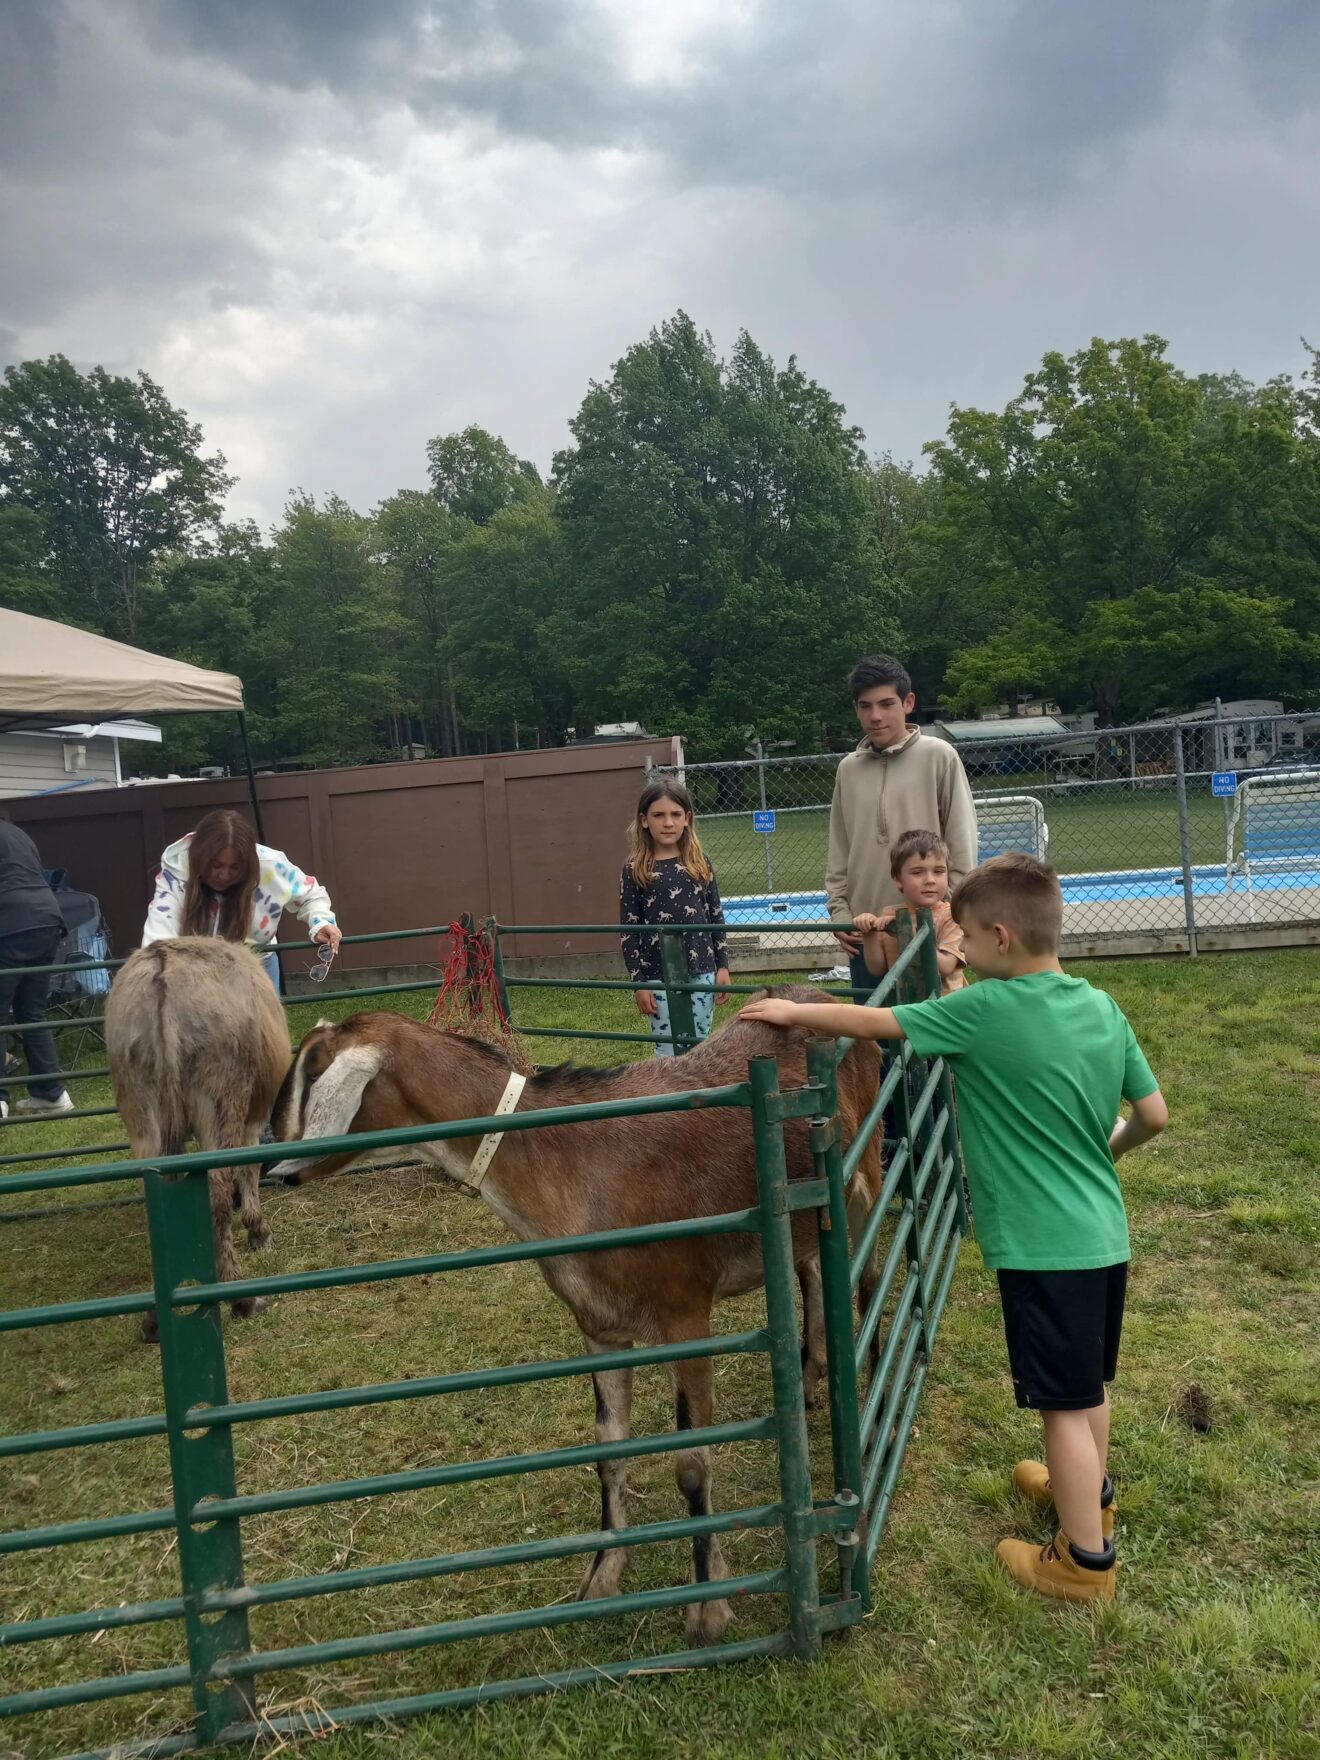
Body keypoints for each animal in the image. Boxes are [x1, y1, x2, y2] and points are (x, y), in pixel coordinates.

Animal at [107, 943, 293, 1337]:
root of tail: (162, 969)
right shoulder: (252, 1116)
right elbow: (249, 1168)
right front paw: (257, 1230)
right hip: (219, 1100)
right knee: (216, 1195)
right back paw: (242, 1298)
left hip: (143, 1109)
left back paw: (156, 1319)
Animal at [269, 999, 883, 1640]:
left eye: (311, 1072)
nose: (271, 1168)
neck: (572, 1158)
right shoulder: (599, 1325)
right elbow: (607, 1450)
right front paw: (602, 1578)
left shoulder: (686, 1314)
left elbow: (692, 1463)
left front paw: (708, 1605)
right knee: (812, 1273)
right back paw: (810, 1381)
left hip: (865, 1177)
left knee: (867, 1279)